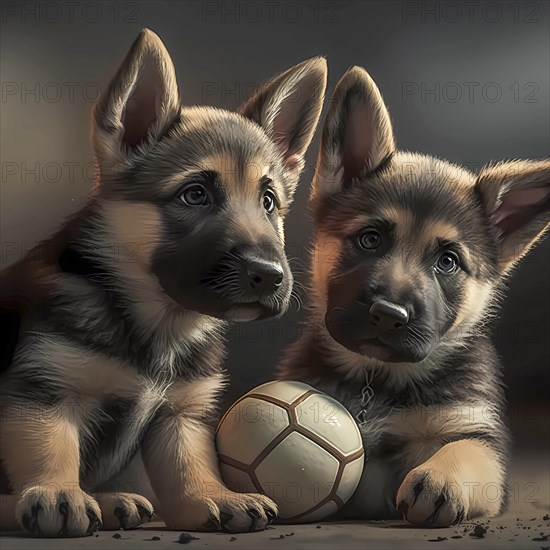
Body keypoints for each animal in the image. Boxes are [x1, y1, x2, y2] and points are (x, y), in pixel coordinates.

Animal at [0, 28, 328, 536]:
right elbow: (50, 447)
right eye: (195, 195)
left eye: (269, 200)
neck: (158, 322)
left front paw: (213, 496)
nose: (270, 276)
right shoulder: (44, 393)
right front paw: (56, 492)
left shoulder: (181, 415)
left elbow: (189, 463)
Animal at [282, 67, 548, 528]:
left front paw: (441, 478)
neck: (377, 382)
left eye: (448, 262)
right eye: (370, 239)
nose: (389, 315)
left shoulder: (472, 430)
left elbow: (468, 451)